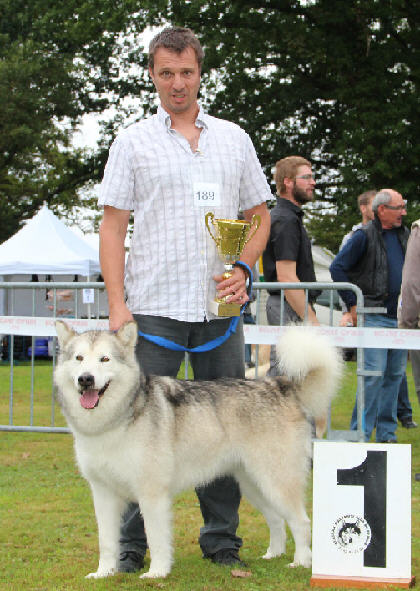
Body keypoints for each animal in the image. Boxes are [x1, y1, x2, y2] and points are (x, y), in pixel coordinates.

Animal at [54, 322, 342, 580]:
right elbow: (107, 542)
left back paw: (301, 562)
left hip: (276, 481)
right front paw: (104, 572)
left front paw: (157, 572)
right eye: (79, 358)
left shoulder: (152, 495)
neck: (113, 422)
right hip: (254, 485)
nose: (86, 379)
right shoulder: (103, 494)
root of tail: (282, 385)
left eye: (105, 359)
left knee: (301, 522)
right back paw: (274, 554)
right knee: (277, 520)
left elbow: (156, 539)